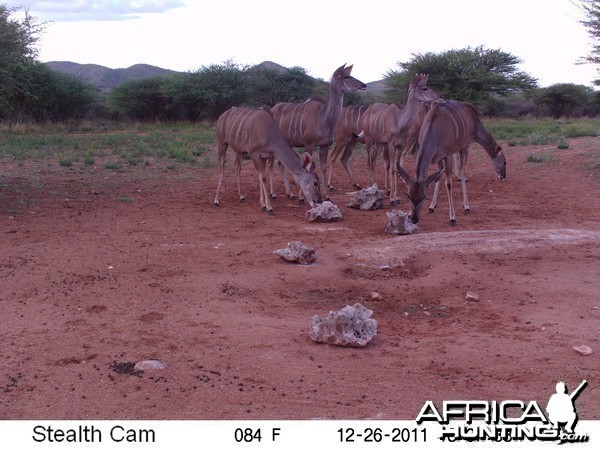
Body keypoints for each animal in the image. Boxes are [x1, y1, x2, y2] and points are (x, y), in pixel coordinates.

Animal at [272, 64, 366, 197]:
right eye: (346, 76)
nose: (364, 85)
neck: (324, 117)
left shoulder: (324, 145)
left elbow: (323, 167)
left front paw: (326, 194)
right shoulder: (309, 143)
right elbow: (309, 167)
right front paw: (302, 197)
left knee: (280, 164)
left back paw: (289, 193)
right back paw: (274, 194)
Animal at [358, 75, 442, 204]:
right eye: (425, 88)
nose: (440, 97)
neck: (400, 121)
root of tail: (367, 111)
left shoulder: (399, 145)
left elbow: (397, 167)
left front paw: (396, 196)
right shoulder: (391, 144)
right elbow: (393, 168)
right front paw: (392, 198)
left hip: (379, 143)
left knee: (374, 159)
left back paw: (375, 186)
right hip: (368, 139)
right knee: (369, 161)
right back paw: (369, 187)